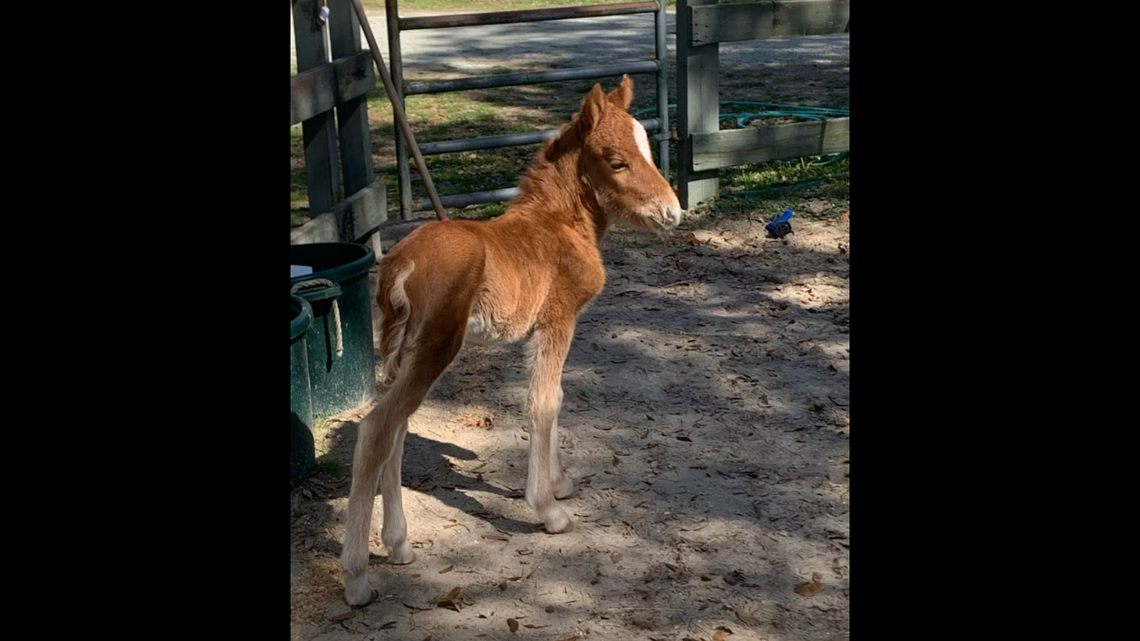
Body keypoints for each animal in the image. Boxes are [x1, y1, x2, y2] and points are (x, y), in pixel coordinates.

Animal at [340, 74, 684, 606]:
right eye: (617, 161)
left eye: (648, 149)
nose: (673, 213)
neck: (558, 225)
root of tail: (399, 264)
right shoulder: (557, 320)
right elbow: (544, 401)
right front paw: (548, 509)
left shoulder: (546, 330)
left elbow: (557, 397)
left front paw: (559, 484)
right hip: (437, 346)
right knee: (377, 428)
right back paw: (357, 576)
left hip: (404, 351)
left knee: (396, 428)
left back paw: (398, 545)